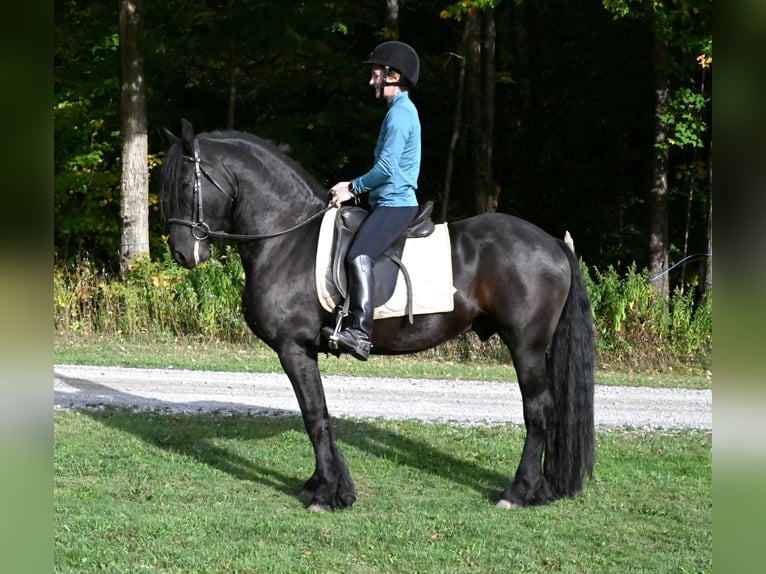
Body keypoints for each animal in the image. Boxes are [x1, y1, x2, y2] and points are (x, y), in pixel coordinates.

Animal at [160, 119, 595, 511]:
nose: (182, 252)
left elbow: (313, 414)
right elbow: (321, 414)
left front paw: (328, 495)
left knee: (538, 409)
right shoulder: (304, 350)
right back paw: (540, 489)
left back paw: (520, 492)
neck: (288, 237)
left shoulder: (293, 348)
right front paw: (324, 485)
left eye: (183, 185)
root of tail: (552, 243)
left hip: (526, 346)